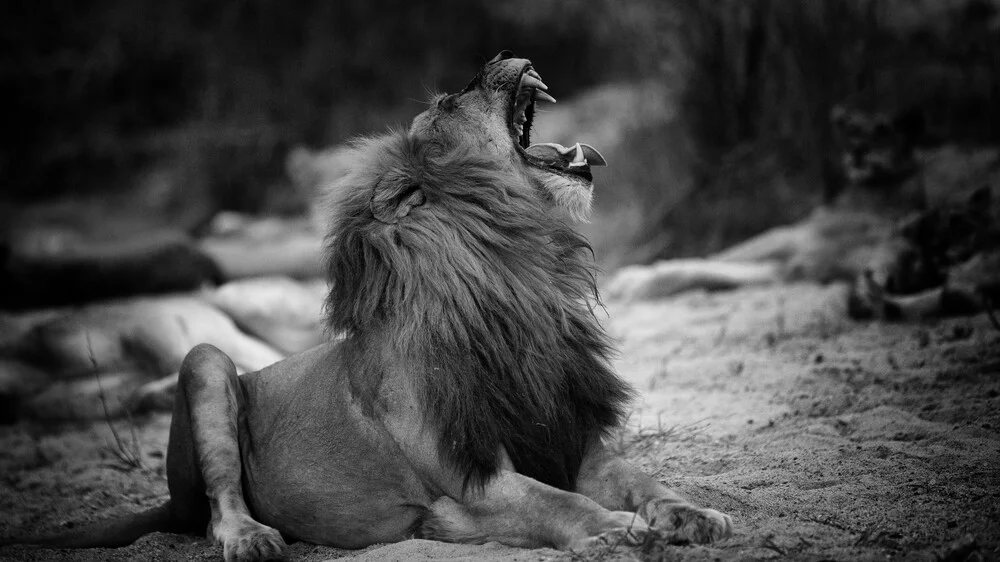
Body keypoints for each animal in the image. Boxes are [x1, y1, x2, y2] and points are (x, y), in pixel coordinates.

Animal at [7, 51, 736, 556]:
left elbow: (645, 480)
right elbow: (557, 504)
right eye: (450, 99)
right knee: (217, 502)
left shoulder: (575, 441)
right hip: (206, 362)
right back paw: (252, 538)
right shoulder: (468, 482)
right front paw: (618, 529)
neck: (516, 275)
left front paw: (694, 515)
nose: (503, 57)